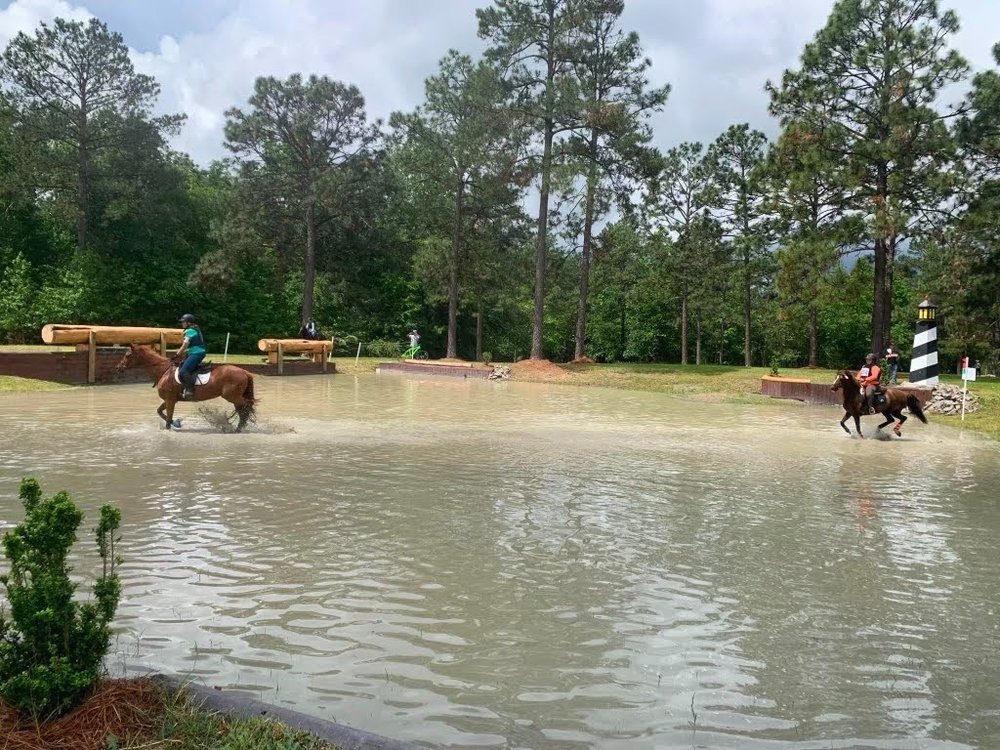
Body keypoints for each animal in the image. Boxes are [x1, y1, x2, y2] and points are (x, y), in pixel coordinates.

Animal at [115, 344, 257, 432]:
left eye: (127, 355)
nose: (118, 367)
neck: (163, 371)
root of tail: (245, 372)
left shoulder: (170, 400)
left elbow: (167, 417)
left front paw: (171, 426)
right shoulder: (169, 400)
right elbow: (160, 412)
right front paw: (176, 423)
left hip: (232, 396)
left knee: (246, 406)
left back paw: (239, 428)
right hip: (235, 397)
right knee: (243, 409)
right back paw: (239, 427)